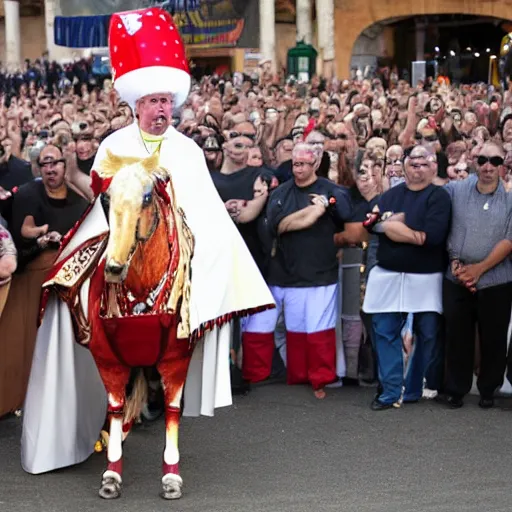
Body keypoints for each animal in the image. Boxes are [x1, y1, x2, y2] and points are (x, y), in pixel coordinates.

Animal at [87, 149, 194, 500]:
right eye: (106, 198)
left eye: (147, 198)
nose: (114, 267)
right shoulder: (107, 358)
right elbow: (116, 407)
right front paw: (111, 475)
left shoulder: (177, 358)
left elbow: (172, 410)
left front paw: (171, 477)